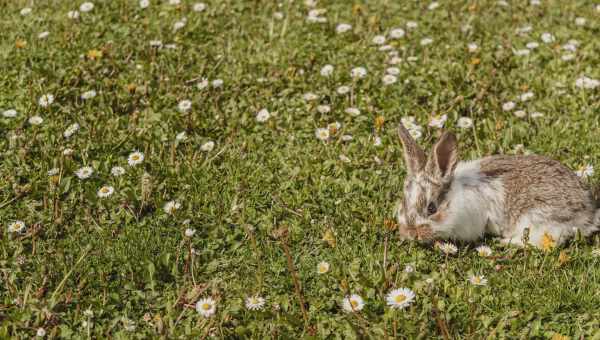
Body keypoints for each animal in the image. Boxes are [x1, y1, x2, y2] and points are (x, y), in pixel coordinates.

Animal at [394, 123, 600, 248]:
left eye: (431, 208)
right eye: (403, 203)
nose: (410, 234)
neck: (453, 197)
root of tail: (588, 214)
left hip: (539, 220)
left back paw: (505, 242)